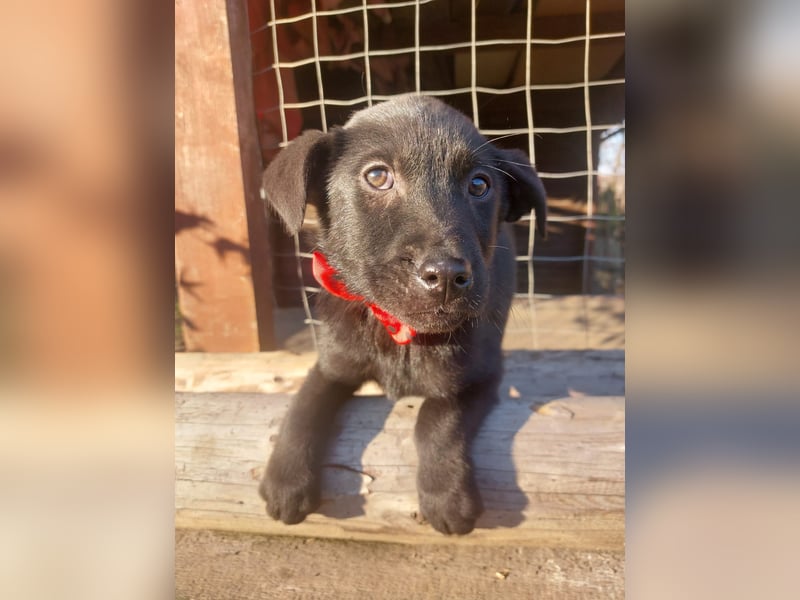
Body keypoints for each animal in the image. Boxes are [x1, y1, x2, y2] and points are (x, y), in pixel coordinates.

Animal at [260, 94, 548, 536]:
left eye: (479, 185)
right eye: (378, 176)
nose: (446, 276)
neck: (402, 333)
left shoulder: (481, 375)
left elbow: (436, 416)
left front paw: (447, 496)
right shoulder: (333, 364)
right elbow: (305, 403)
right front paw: (285, 480)